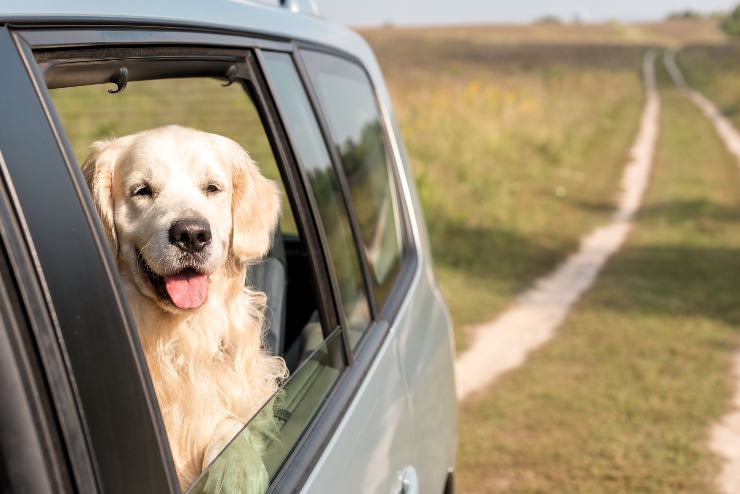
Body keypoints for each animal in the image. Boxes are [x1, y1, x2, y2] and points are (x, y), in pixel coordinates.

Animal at [82, 124, 288, 490]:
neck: (180, 337)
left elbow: (231, 426)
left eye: (212, 188)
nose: (191, 234)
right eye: (142, 191)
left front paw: (236, 470)